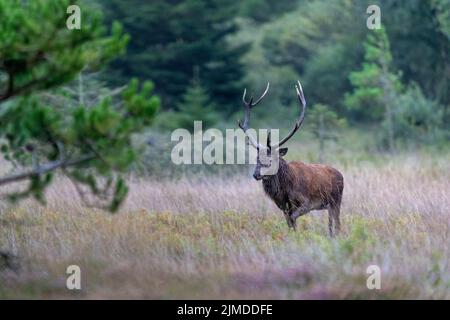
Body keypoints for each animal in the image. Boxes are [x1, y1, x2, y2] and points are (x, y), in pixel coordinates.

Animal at [239, 81, 344, 236]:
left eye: (270, 160)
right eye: (257, 159)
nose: (256, 174)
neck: (284, 191)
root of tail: (340, 174)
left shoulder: (307, 202)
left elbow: (293, 219)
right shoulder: (283, 208)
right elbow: (289, 223)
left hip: (336, 200)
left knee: (336, 223)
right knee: (332, 223)